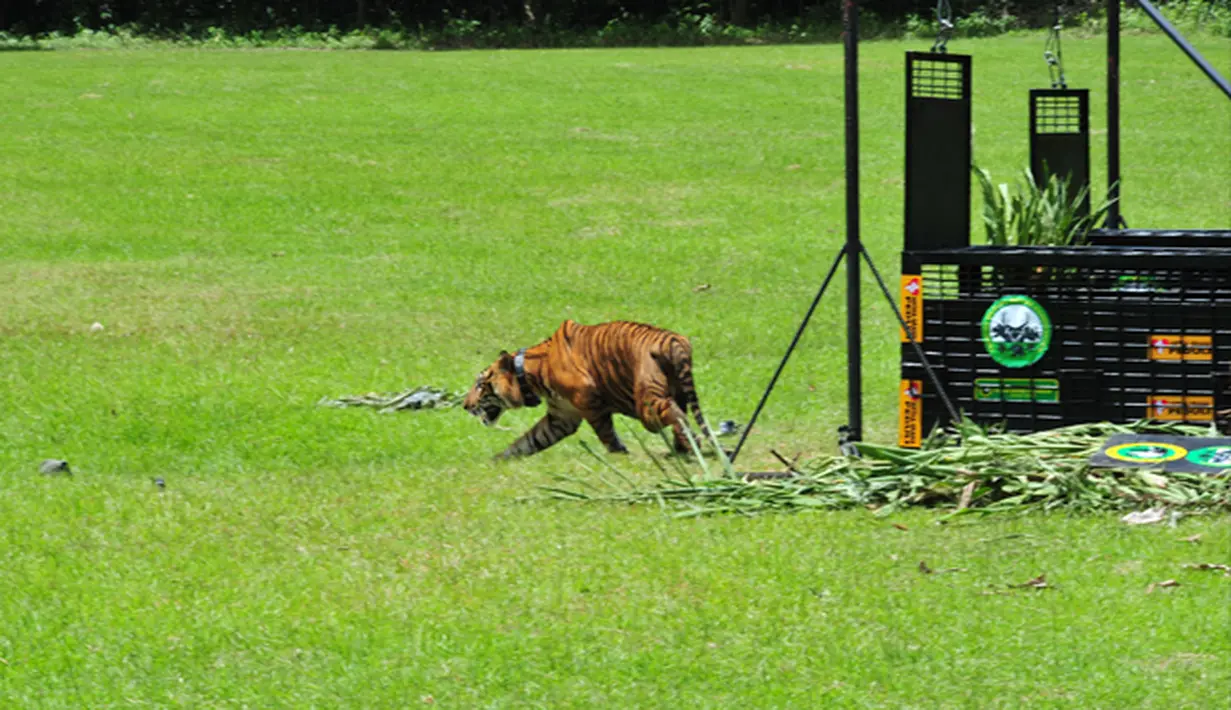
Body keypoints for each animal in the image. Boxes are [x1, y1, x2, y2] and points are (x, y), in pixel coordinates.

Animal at [462, 317, 718, 457]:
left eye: (480, 385)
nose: (465, 405)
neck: (529, 374)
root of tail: (674, 340)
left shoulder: (589, 403)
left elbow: (607, 435)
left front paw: (620, 454)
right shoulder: (561, 417)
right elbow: (527, 442)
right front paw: (496, 461)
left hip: (647, 406)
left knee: (676, 414)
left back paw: (689, 445)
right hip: (677, 392)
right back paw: (684, 448)